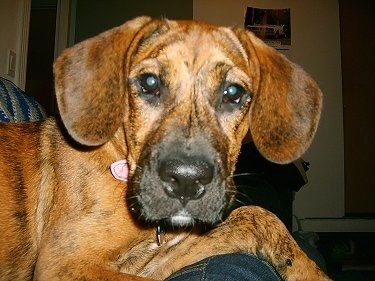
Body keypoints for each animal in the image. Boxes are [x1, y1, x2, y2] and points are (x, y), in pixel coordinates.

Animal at [0, 16, 330, 278]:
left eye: (233, 92)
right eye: (149, 83)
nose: (186, 180)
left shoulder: (156, 261)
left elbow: (257, 216)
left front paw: (309, 272)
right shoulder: (66, 264)